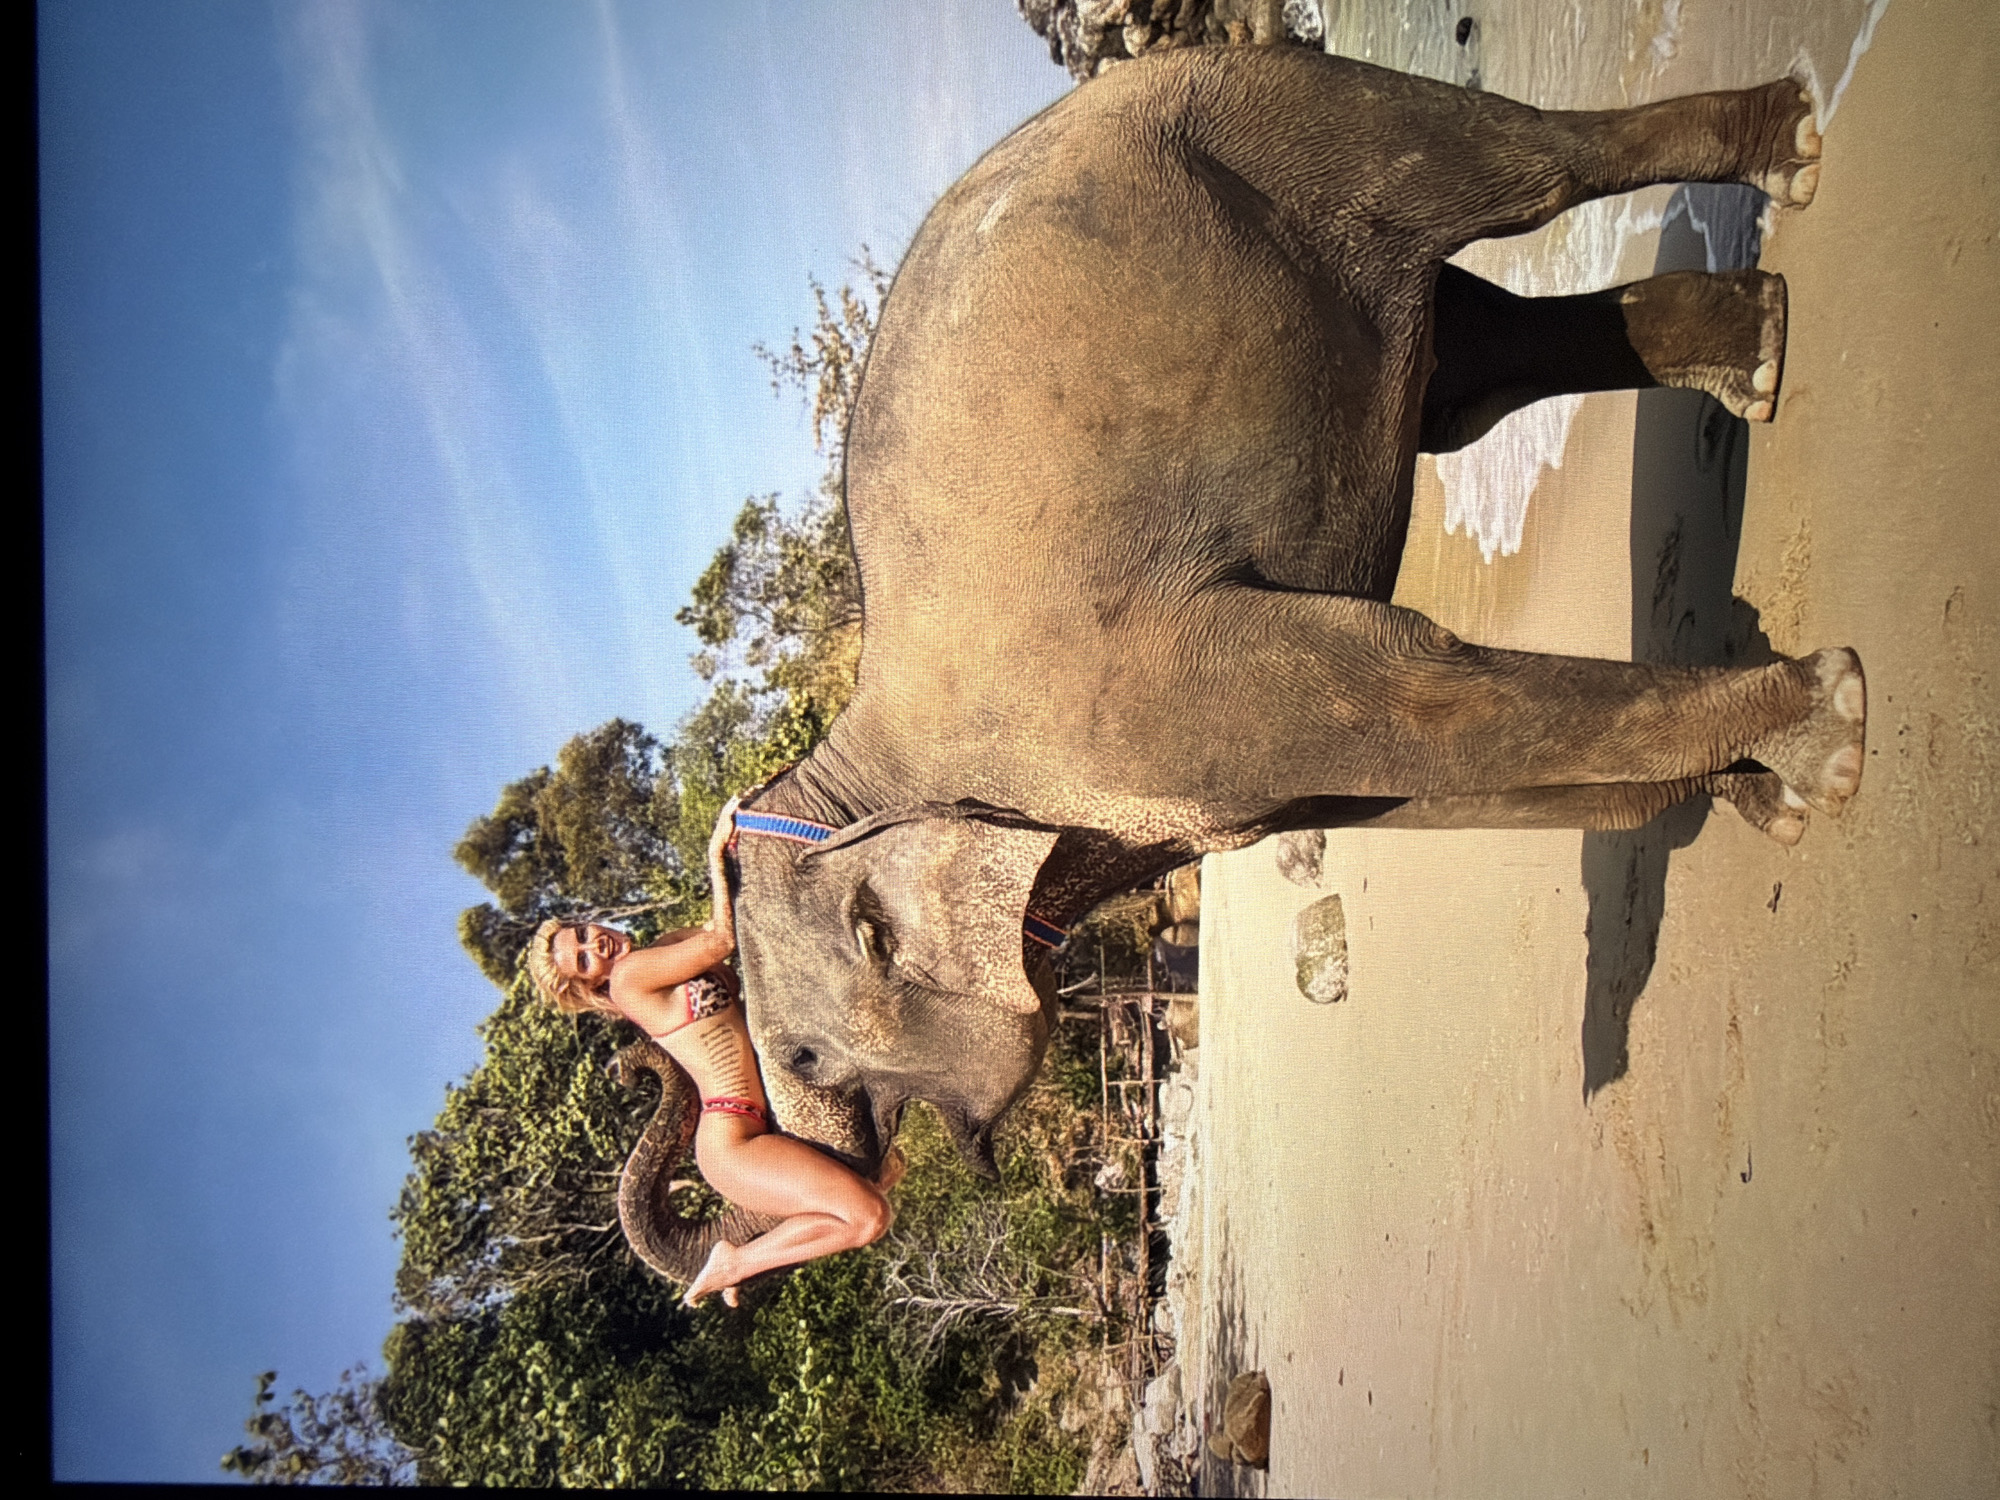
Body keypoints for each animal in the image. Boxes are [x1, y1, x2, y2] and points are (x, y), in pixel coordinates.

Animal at [615, 43, 1866, 1256]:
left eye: (803, 1056)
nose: (637, 1061)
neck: (857, 778)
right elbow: (1408, 797)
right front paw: (1763, 797)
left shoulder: (1146, 700)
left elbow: (1408, 701)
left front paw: (1830, 735)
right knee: (1475, 359)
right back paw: (1757, 350)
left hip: (1278, 115)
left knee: (1524, 176)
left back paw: (1791, 149)